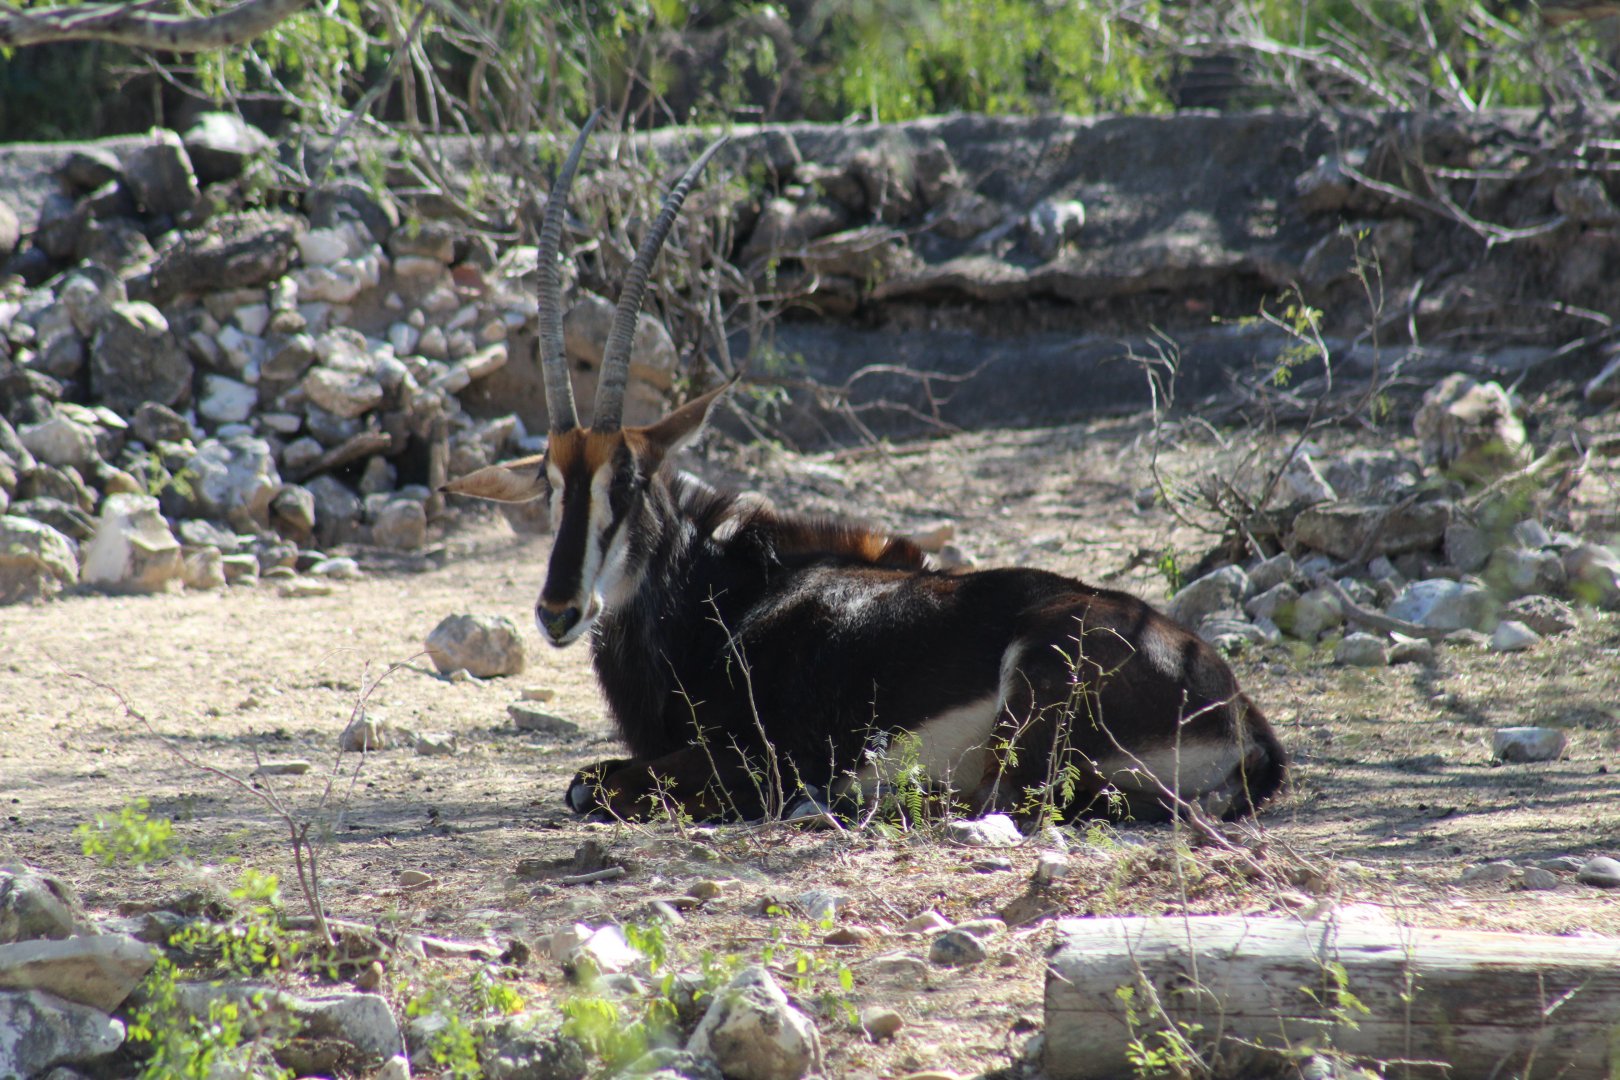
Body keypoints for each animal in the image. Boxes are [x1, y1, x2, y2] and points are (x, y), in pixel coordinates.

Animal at [446, 117, 1287, 826]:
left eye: (627, 484)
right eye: (550, 488)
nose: (558, 611)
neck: (724, 597)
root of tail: (1242, 716)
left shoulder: (758, 758)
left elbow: (592, 783)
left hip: (1034, 703)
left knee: (1018, 796)